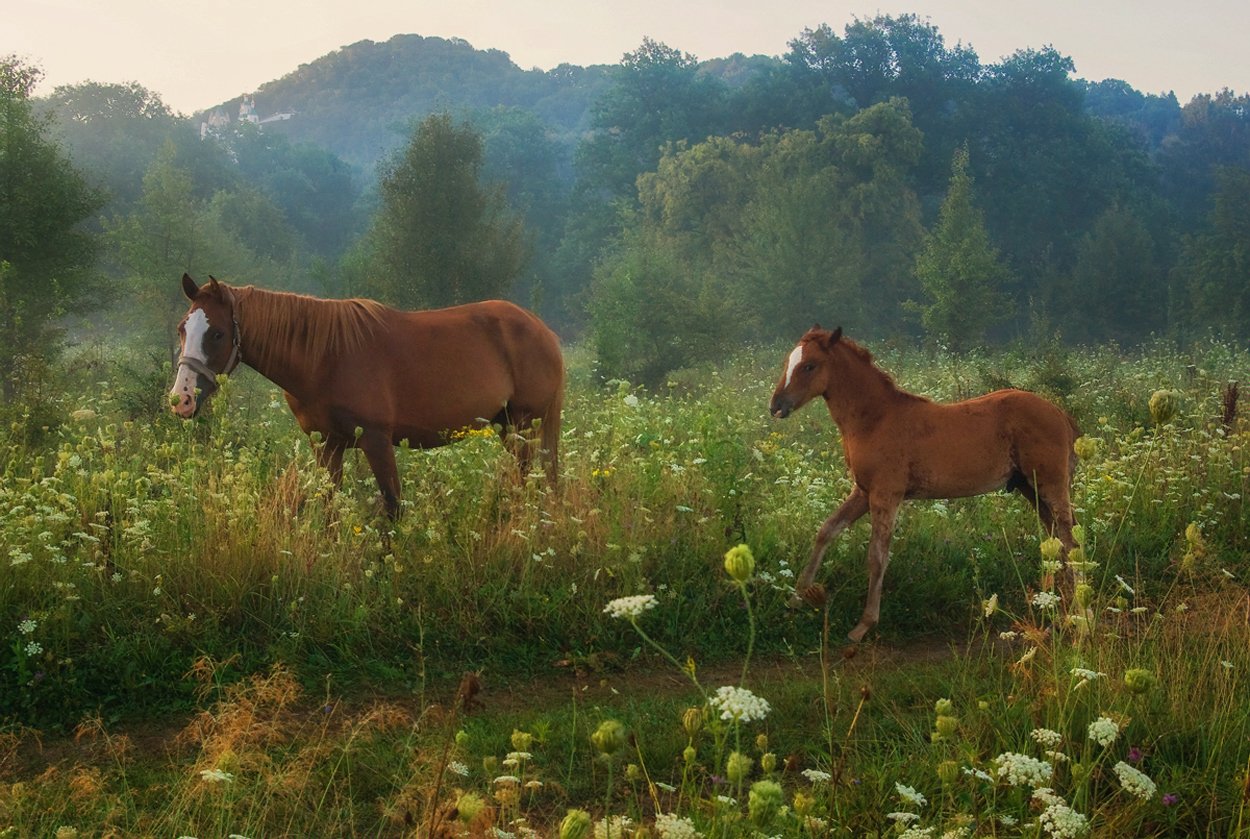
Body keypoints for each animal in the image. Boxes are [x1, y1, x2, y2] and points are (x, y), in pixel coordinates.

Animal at [172, 275, 567, 517]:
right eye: (182, 329)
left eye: (218, 334)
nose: (182, 399)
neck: (324, 358)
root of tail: (542, 330)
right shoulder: (326, 444)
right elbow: (330, 505)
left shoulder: (376, 441)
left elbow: (393, 508)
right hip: (508, 427)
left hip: (524, 426)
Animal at [765, 327, 1080, 645]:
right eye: (788, 362)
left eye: (809, 366)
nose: (776, 406)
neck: (874, 419)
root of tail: (1060, 415)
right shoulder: (863, 493)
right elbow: (826, 531)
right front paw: (796, 598)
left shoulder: (886, 494)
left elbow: (877, 556)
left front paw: (864, 625)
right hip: (1031, 489)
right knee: (1059, 542)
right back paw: (1059, 613)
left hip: (1051, 486)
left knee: (1070, 542)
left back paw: (1078, 617)